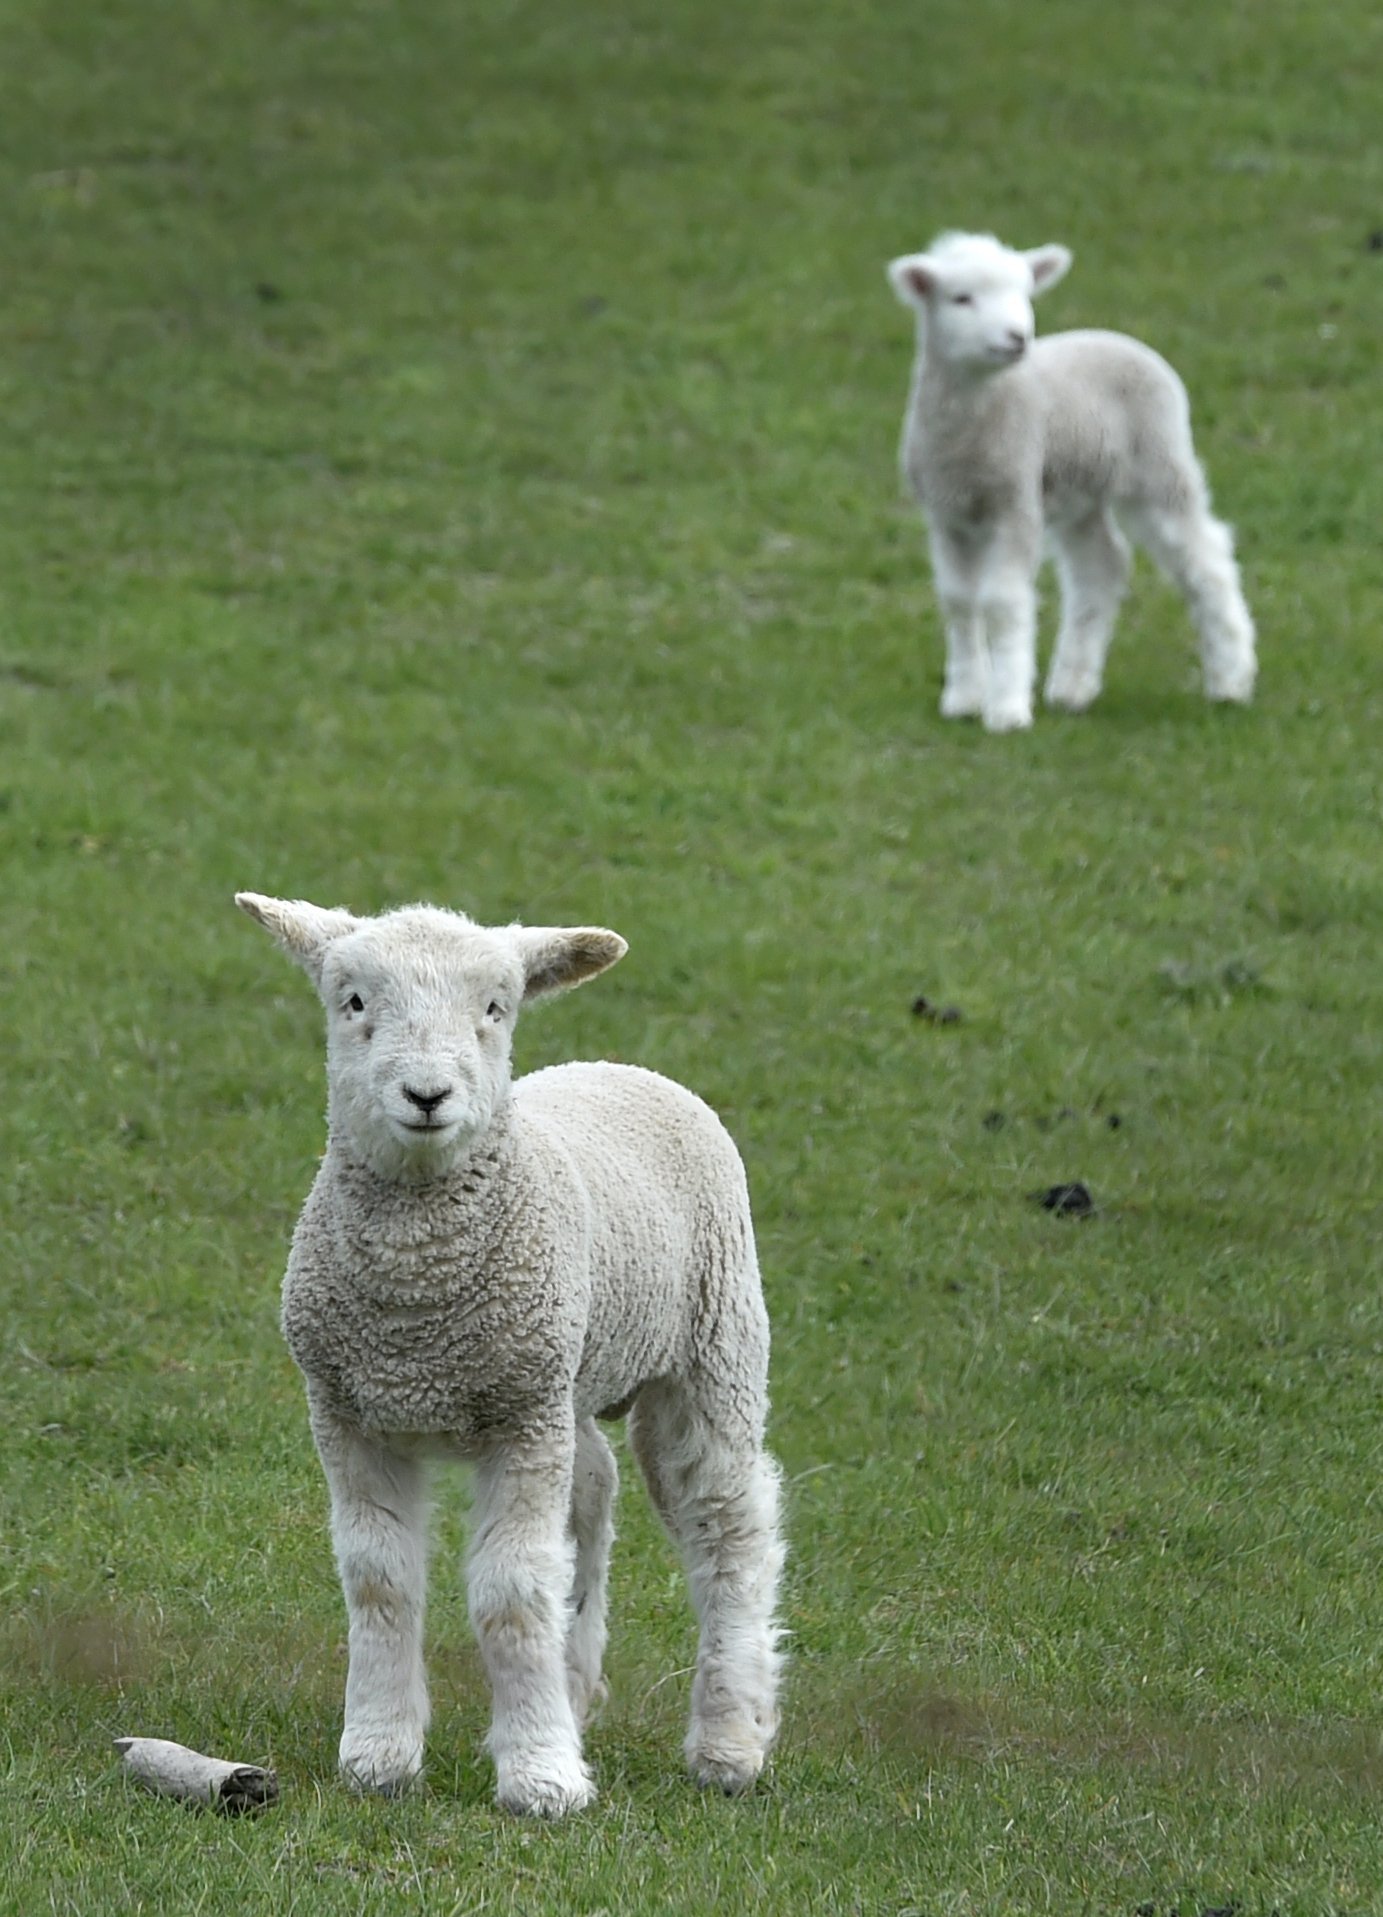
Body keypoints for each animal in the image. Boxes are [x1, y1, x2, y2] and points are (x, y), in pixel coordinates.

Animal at [232, 889, 782, 1817]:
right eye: (353, 1001)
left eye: (495, 1007)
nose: (427, 1093)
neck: (418, 1303)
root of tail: (618, 1066)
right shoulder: (349, 1411)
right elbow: (380, 1579)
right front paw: (378, 1752)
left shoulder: (521, 1421)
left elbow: (512, 1590)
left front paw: (539, 1773)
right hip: (567, 1372)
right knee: (594, 1488)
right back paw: (575, 1681)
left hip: (712, 1345)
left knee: (728, 1529)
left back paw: (727, 1741)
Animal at [890, 226, 1258, 732]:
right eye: (961, 298)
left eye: (1025, 293)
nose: (1018, 337)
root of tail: (1116, 336)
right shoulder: (948, 514)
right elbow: (959, 600)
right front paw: (963, 698)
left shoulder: (1016, 500)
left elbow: (1002, 603)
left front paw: (1007, 708)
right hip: (1078, 487)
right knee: (1101, 565)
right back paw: (1072, 686)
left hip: (1159, 463)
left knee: (1207, 559)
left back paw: (1229, 681)